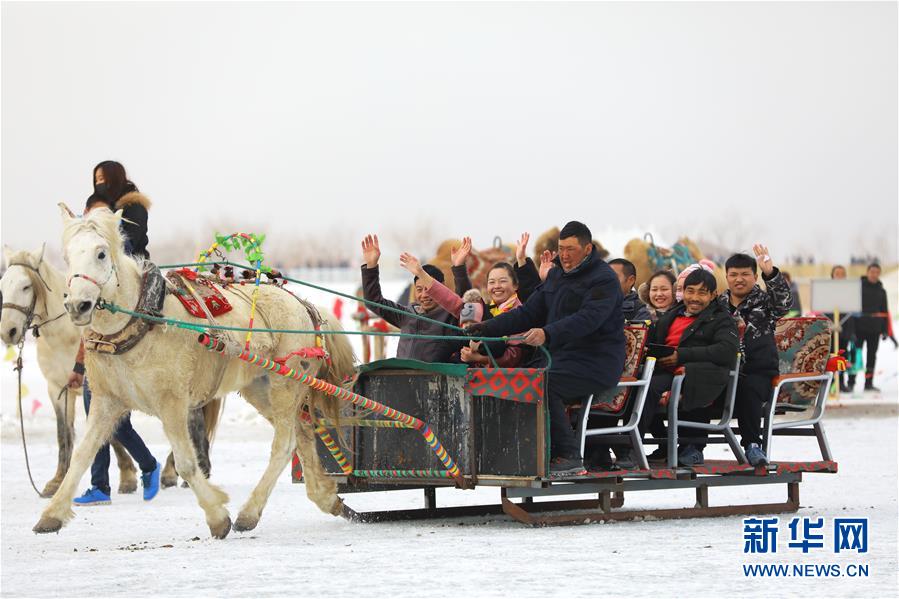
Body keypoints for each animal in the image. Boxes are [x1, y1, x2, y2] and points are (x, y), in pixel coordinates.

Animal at [1, 244, 139, 496]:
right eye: (3, 285)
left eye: (26, 286)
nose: (8, 331)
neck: (65, 337)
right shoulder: (57, 389)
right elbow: (63, 433)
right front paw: (57, 481)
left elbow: (111, 434)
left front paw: (127, 476)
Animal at [37, 206, 356, 540]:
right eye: (67, 256)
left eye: (100, 253)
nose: (77, 305)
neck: (143, 322)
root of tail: (305, 305)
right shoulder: (106, 401)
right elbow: (82, 455)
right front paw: (52, 514)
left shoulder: (173, 403)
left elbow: (187, 464)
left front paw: (217, 517)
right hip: (260, 387)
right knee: (303, 433)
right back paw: (325, 497)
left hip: (286, 384)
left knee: (284, 445)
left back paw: (249, 513)